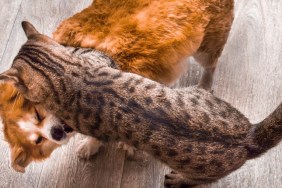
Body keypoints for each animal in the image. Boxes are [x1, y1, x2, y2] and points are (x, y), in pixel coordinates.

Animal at [1, 21, 280, 187]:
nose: (57, 131)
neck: (67, 74)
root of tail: (249, 136)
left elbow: (96, 136)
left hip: (198, 172)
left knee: (196, 181)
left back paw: (178, 179)